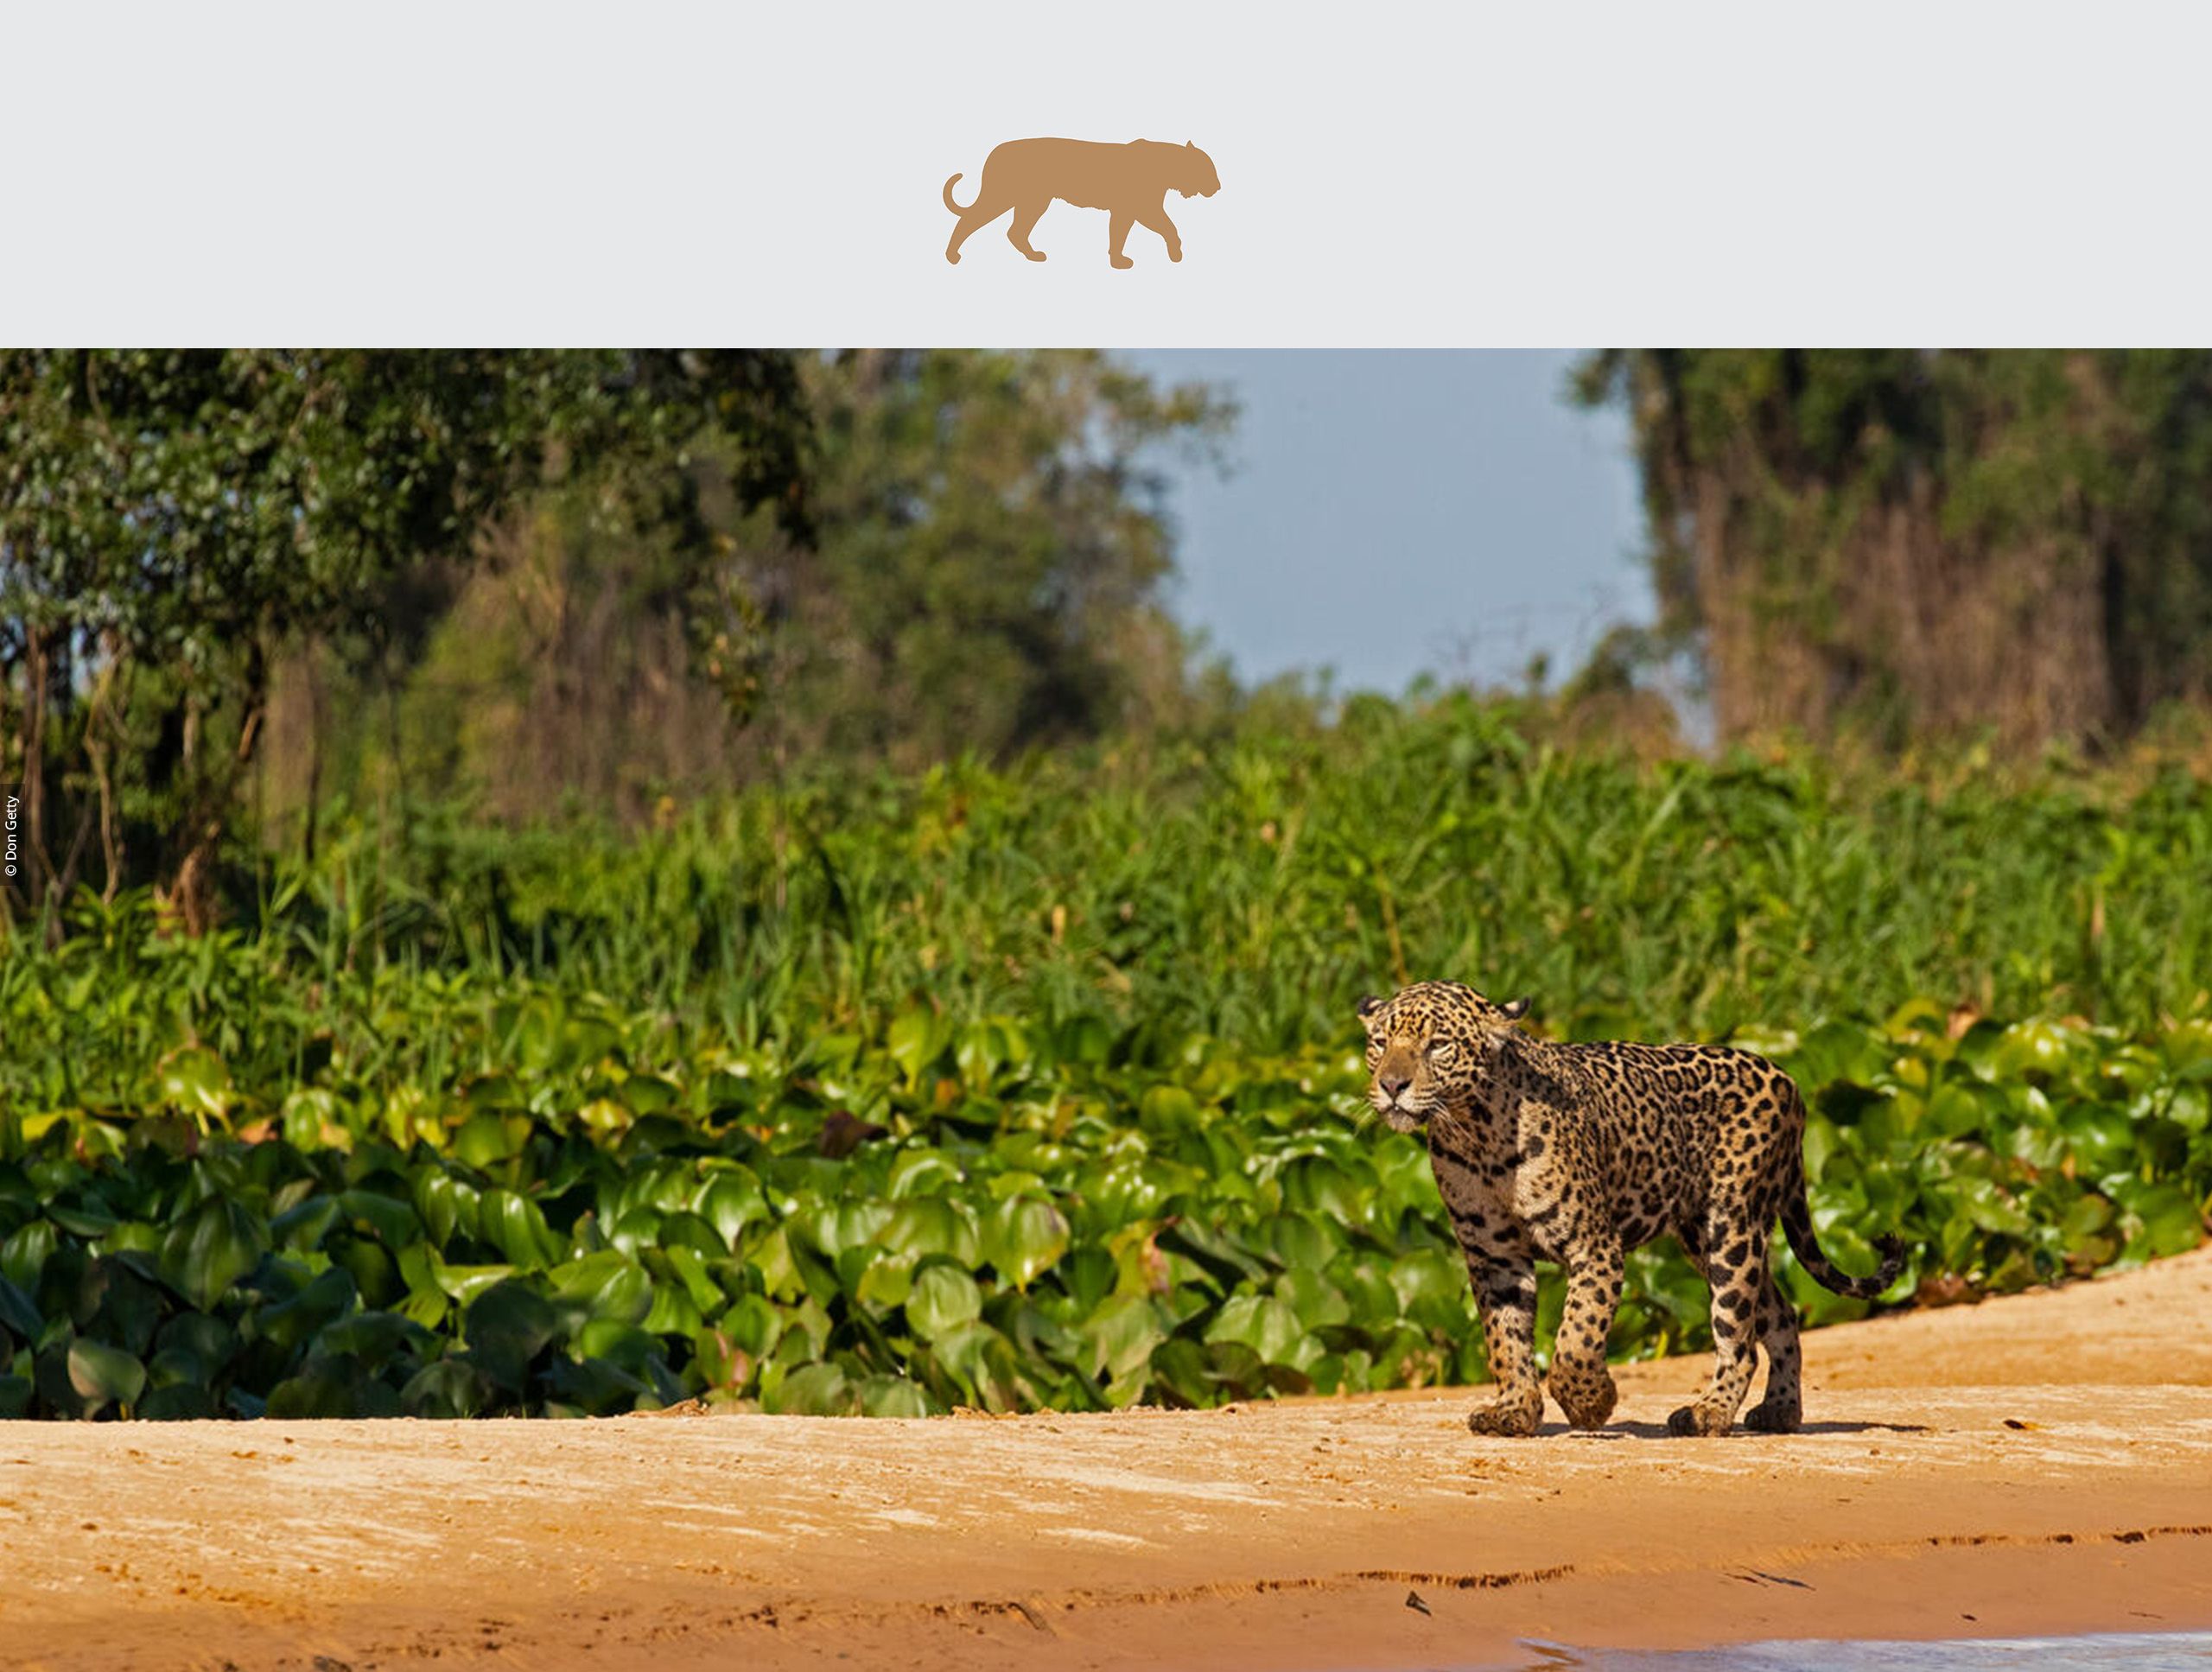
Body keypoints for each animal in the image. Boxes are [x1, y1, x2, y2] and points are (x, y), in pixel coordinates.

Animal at [943, 138, 1220, 269]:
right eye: (1208, 169)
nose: (1218, 187)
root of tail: (994, 151)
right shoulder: (1143, 209)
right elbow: (1169, 227)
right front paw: (1176, 254)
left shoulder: (1127, 211)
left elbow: (1118, 235)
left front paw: (1117, 261)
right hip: (1004, 197)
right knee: (969, 220)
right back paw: (952, 256)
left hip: (1033, 202)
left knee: (1015, 231)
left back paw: (1034, 256)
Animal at [1358, 980, 1905, 1439]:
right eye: (1380, 1043)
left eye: (1437, 1045)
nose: (1392, 1086)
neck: (1474, 1135)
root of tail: (1787, 1076)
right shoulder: (1493, 1258)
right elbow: (1505, 1341)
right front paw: (1514, 1410)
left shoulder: (1594, 1245)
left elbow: (1576, 1337)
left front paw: (1591, 1402)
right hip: (1703, 1239)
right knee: (1781, 1315)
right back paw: (1780, 1410)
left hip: (1732, 1227)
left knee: (1740, 1337)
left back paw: (1709, 1412)